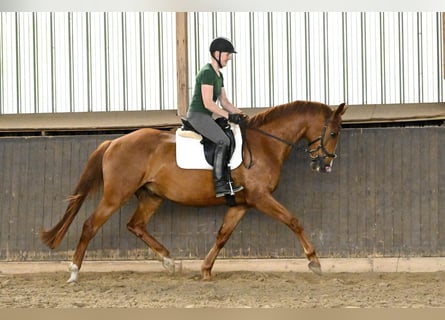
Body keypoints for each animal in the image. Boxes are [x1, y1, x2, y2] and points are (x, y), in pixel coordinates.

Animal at [40, 100, 346, 282]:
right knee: (90, 225)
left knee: (135, 225)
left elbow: (222, 236)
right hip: (116, 195)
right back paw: (74, 271)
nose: (326, 164)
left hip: (152, 196)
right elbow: (294, 221)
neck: (264, 145)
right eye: (333, 133)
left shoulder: (241, 204)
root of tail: (114, 142)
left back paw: (170, 262)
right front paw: (314, 262)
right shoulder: (261, 197)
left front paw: (206, 270)